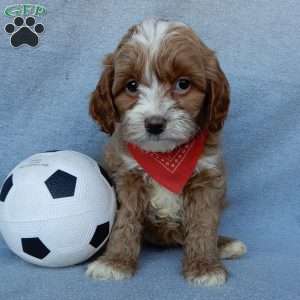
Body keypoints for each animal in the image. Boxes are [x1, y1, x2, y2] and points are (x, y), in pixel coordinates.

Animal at [86, 18, 246, 286]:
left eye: (183, 84)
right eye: (131, 86)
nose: (154, 124)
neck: (165, 156)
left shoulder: (207, 180)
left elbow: (203, 225)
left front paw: (204, 266)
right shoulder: (127, 177)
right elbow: (125, 222)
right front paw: (115, 262)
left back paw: (224, 244)